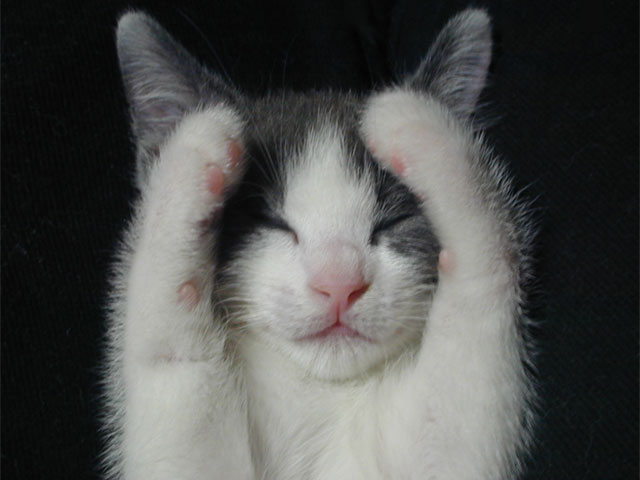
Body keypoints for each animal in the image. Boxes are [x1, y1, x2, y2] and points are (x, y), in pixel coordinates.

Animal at [101, 8, 536, 479]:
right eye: (267, 219)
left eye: (393, 219)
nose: (339, 282)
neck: (319, 394)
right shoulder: (184, 456)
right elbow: (175, 384)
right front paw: (187, 154)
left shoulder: (450, 450)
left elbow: (471, 337)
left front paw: (430, 134)